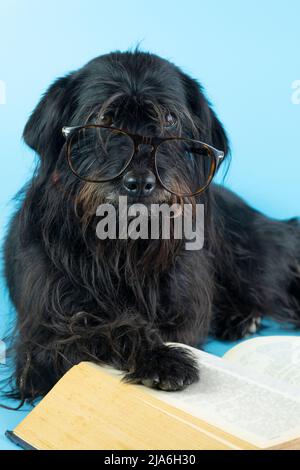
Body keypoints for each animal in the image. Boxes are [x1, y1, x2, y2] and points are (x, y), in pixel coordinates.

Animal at [2, 49, 300, 402]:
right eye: (104, 119)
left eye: (169, 119)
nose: (141, 183)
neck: (122, 246)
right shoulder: (41, 341)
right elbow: (108, 327)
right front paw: (161, 357)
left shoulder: (185, 313)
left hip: (250, 253)